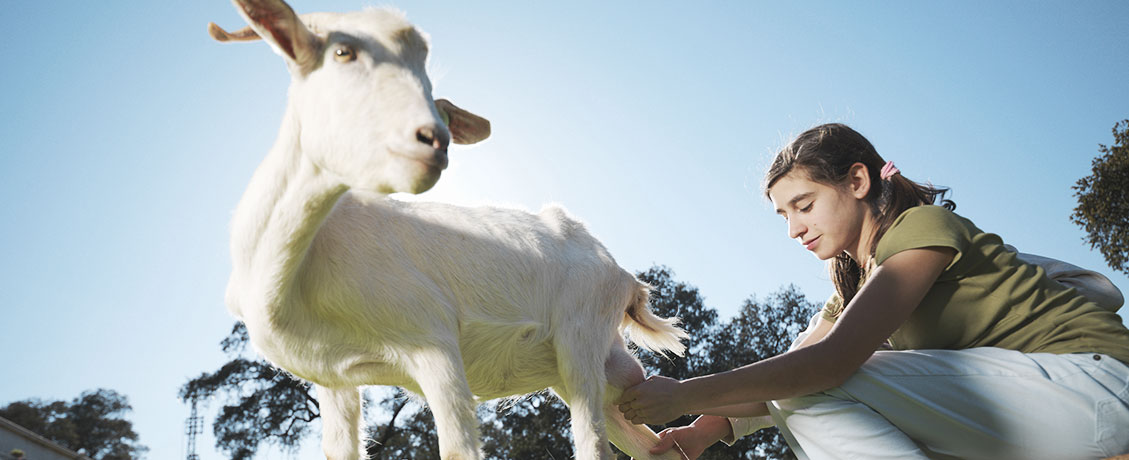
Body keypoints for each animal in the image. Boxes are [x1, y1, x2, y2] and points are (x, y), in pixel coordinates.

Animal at [211, 1, 686, 458]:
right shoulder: (335, 380)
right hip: (600, 377)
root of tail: (624, 276)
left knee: (595, 445)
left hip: (580, 340)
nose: (433, 140)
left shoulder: (433, 340)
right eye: (343, 51)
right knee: (659, 446)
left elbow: (458, 448)